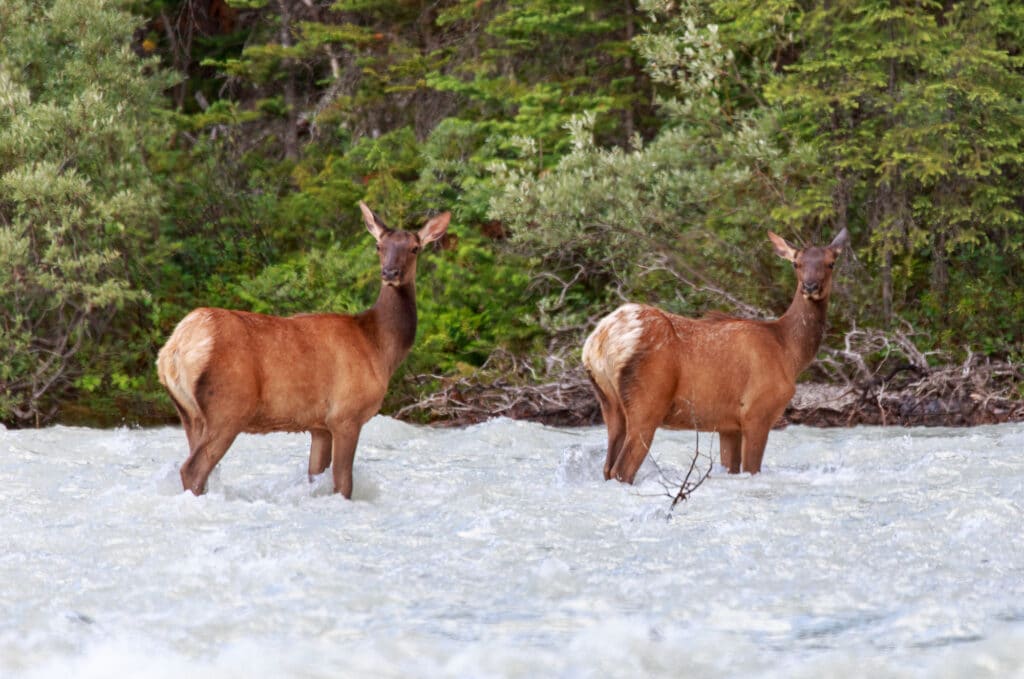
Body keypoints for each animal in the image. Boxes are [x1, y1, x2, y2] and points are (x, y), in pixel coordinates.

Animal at [153, 202, 450, 499]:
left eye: (414, 248)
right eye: (379, 245)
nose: (390, 273)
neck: (379, 347)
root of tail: (175, 349)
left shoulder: (319, 426)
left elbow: (315, 476)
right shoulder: (346, 415)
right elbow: (343, 484)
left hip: (189, 413)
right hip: (227, 407)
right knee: (192, 469)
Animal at [585, 228, 847, 483]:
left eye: (831, 263)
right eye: (796, 263)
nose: (810, 286)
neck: (788, 352)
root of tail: (600, 341)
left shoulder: (728, 426)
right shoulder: (757, 412)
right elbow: (752, 469)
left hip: (610, 405)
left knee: (607, 468)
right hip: (648, 402)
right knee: (622, 470)